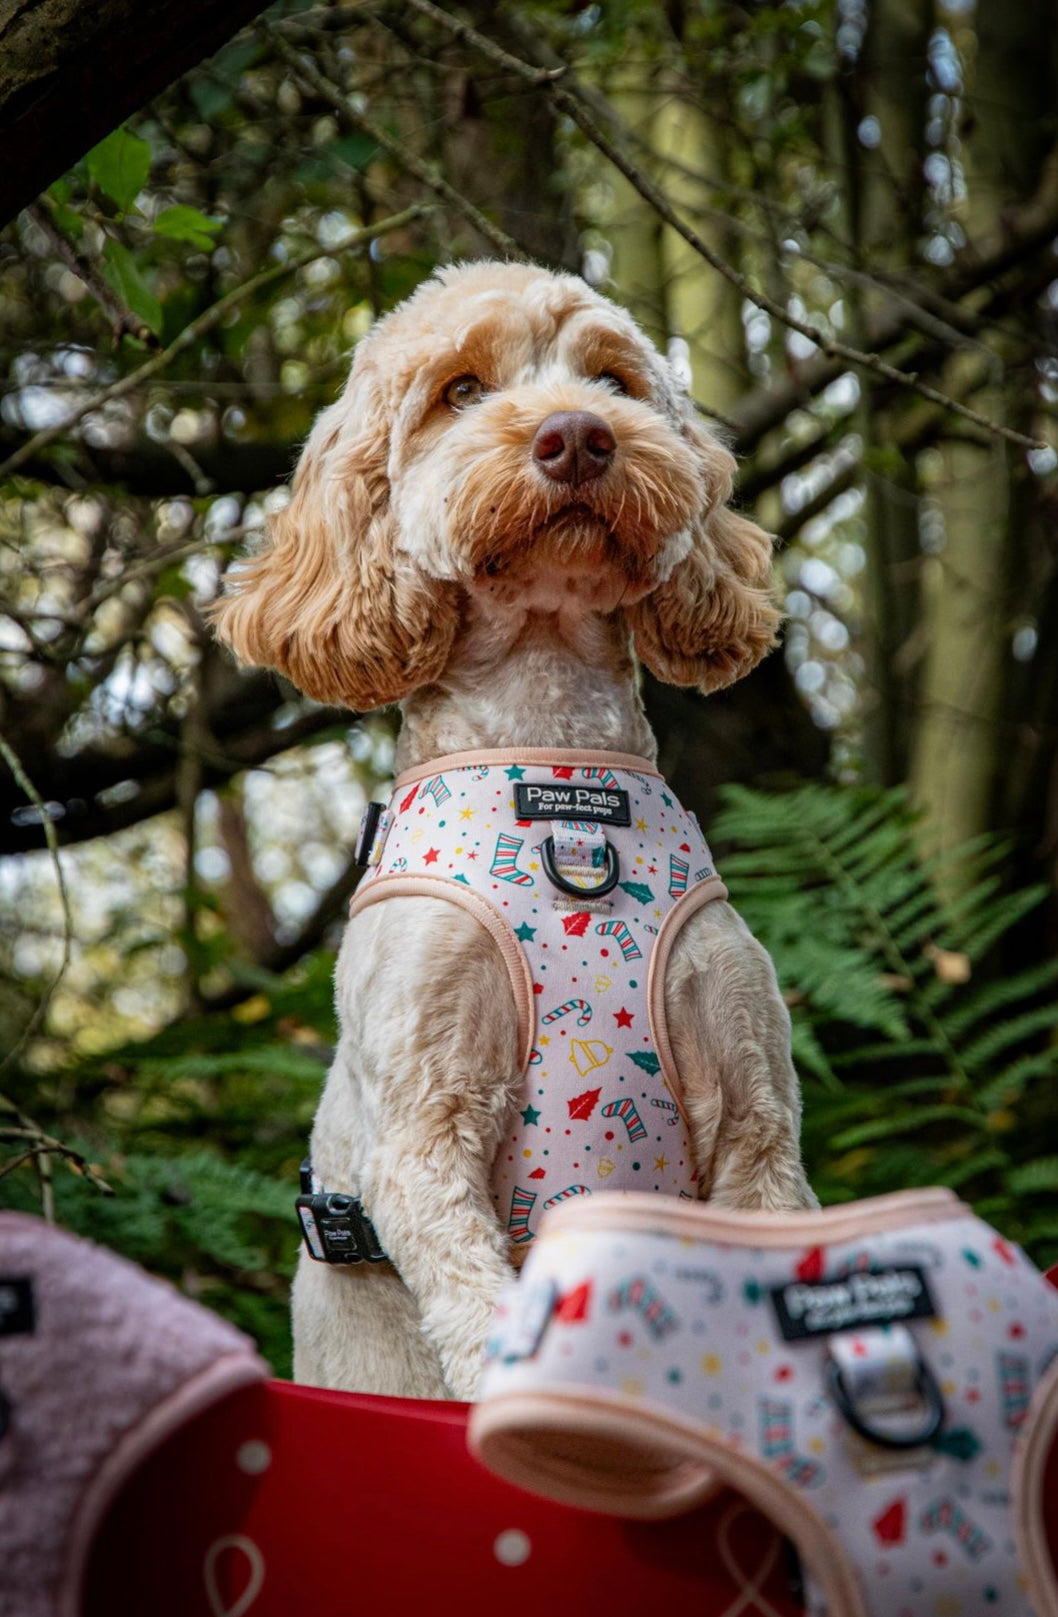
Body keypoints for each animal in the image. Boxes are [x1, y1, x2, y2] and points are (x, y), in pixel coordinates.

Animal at [213, 258, 812, 1397]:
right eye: (459, 391)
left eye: (614, 378)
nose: (578, 434)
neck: (556, 762)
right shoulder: (424, 1130)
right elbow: (478, 1301)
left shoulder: (755, 1117)